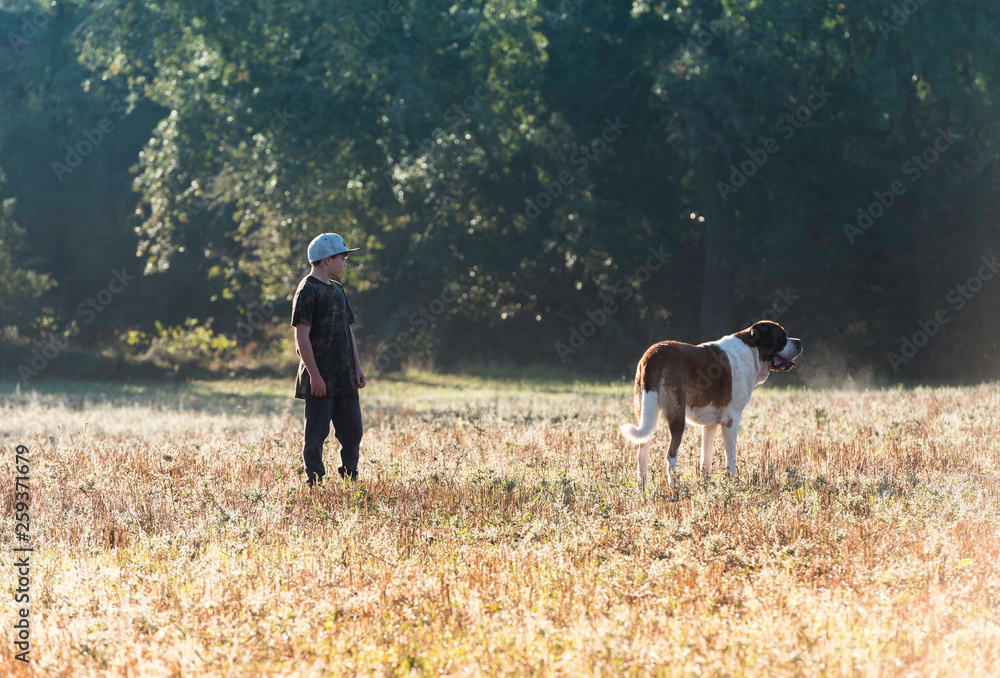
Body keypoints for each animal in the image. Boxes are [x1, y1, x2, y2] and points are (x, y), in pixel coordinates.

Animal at [620, 322, 800, 492]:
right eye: (782, 337)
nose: (800, 342)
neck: (753, 351)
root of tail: (655, 352)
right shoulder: (731, 420)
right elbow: (731, 458)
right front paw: (734, 484)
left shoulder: (710, 425)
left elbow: (705, 459)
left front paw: (705, 486)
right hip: (678, 417)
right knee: (671, 455)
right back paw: (675, 487)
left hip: (646, 411)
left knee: (642, 454)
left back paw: (642, 489)